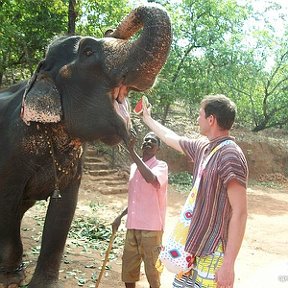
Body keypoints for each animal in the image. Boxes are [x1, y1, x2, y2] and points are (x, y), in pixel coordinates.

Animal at [0, 3, 171, 286]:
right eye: (88, 51)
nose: (111, 29)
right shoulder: (11, 151)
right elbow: (7, 205)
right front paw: (12, 278)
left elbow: (63, 210)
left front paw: (42, 283)